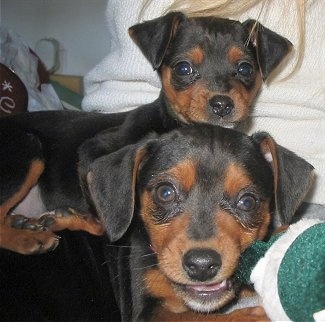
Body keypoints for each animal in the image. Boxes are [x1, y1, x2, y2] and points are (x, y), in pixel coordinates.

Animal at [0, 11, 290, 254]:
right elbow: (109, 217)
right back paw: (28, 237)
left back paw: (24, 224)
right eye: (183, 68)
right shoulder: (93, 154)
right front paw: (71, 218)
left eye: (245, 69)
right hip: (27, 148)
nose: (222, 104)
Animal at [86, 124, 314, 320]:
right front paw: (255, 316)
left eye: (247, 201)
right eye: (165, 192)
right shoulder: (145, 311)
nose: (201, 265)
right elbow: (196, 318)